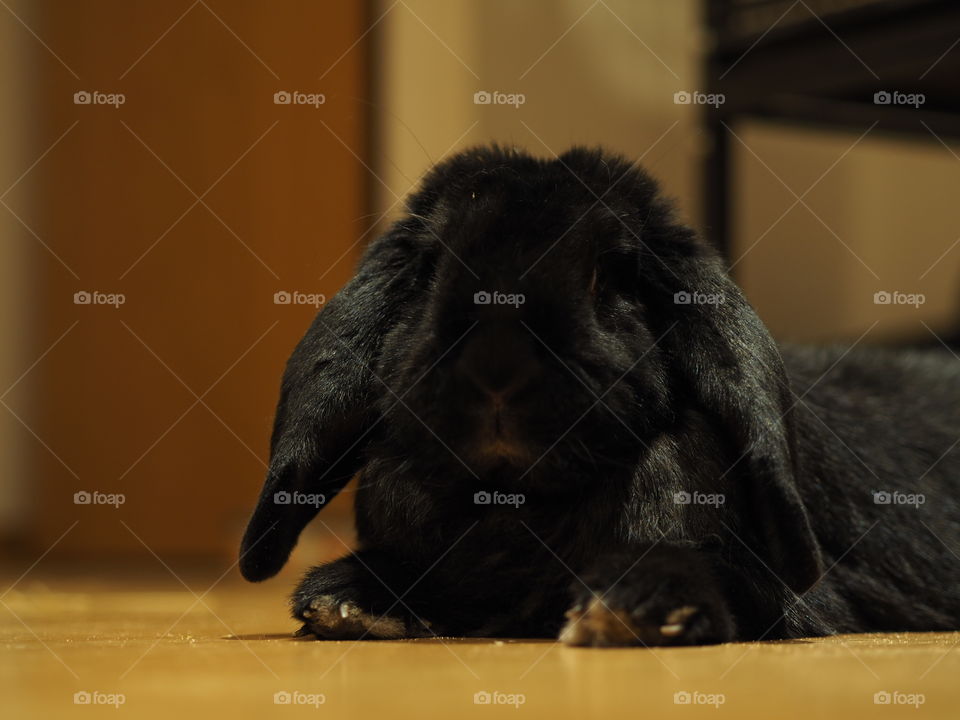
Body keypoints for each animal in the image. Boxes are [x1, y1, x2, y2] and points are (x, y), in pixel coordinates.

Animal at [239, 145, 960, 646]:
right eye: (431, 267)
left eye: (611, 276)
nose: (497, 367)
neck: (517, 502)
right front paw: (343, 603)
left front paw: (633, 606)